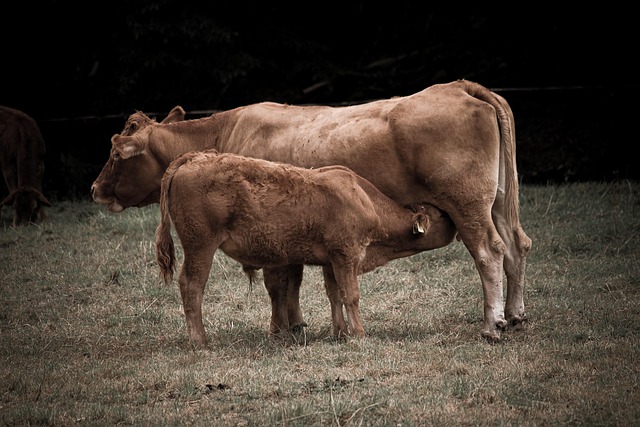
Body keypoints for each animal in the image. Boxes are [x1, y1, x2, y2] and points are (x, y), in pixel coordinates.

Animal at [156, 149, 457, 345]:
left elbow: (335, 295)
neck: (364, 200)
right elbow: (351, 295)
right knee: (192, 285)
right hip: (200, 247)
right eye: (440, 216)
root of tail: (194, 157)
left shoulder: (331, 262)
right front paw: (359, 334)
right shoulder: (347, 256)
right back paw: (200, 340)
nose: (453, 221)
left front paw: (340, 333)